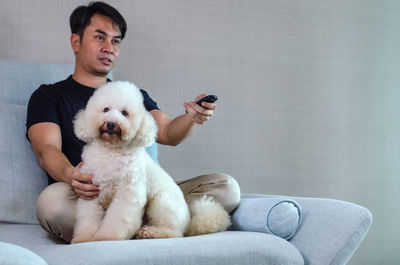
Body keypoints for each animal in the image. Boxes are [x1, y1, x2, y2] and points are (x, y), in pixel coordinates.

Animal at [70, 81, 230, 243]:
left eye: (124, 113)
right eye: (105, 109)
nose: (110, 124)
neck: (111, 151)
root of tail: (189, 223)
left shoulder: (128, 194)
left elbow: (117, 220)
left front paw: (107, 238)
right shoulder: (90, 193)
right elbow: (88, 219)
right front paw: (84, 239)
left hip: (161, 203)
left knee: (173, 233)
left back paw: (149, 233)